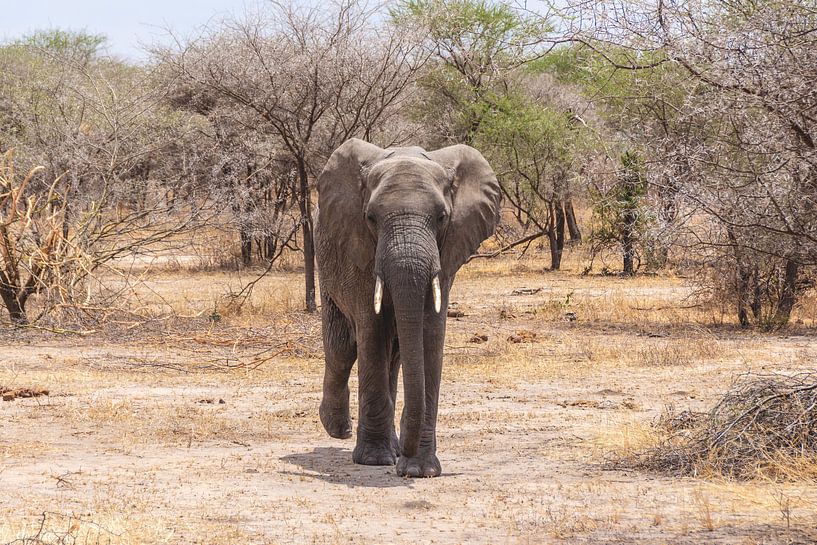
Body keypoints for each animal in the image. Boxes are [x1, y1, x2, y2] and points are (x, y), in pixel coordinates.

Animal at [314, 137, 500, 476]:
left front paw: (420, 470)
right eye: (371, 218)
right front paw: (375, 461)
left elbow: (430, 335)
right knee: (343, 348)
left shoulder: (446, 255)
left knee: (394, 355)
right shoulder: (360, 253)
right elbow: (371, 333)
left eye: (442, 217)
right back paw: (338, 429)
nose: (404, 462)